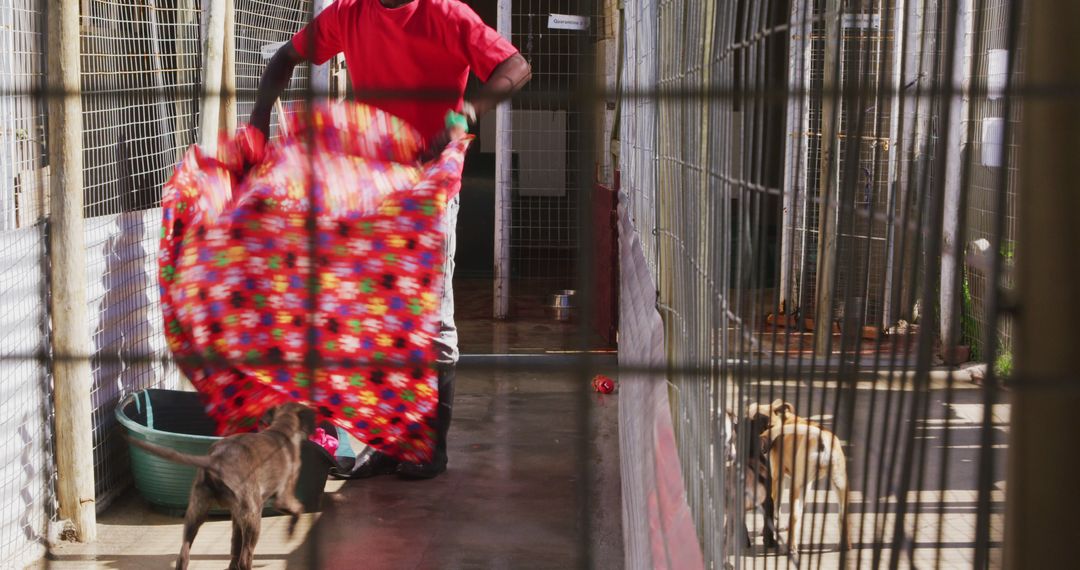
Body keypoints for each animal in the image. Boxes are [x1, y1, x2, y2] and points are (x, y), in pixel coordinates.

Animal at [125, 401, 315, 570]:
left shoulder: (237, 517)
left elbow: (235, 544)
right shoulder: (283, 498)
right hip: (254, 515)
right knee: (246, 558)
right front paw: (291, 532)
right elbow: (299, 507)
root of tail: (216, 459)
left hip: (196, 512)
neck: (281, 429)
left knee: (184, 555)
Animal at [747, 399, 846, 552]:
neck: (786, 421)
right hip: (839, 485)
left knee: (793, 515)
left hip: (795, 486)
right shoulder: (807, 484)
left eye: (770, 426)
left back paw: (791, 545)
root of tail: (822, 438)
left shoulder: (777, 477)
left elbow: (776, 509)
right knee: (841, 516)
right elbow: (799, 509)